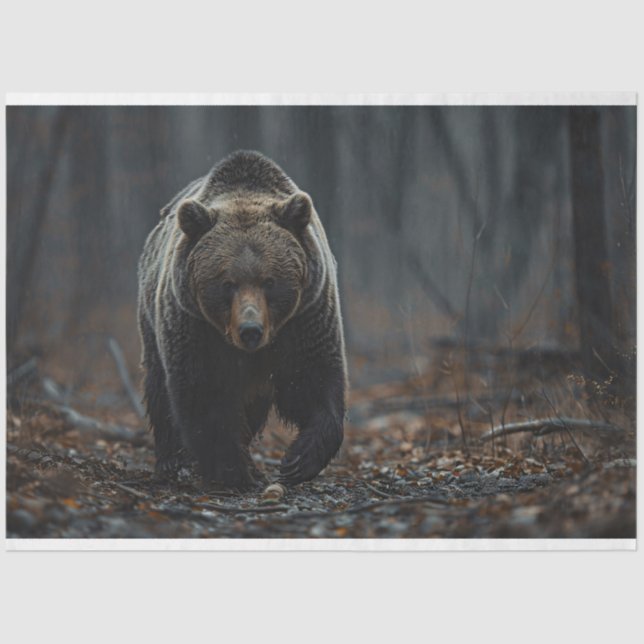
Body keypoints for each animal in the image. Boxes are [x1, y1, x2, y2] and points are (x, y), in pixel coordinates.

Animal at [137, 150, 347, 489]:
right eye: (227, 283)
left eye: (269, 281)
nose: (250, 330)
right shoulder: (195, 326)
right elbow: (203, 393)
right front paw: (232, 470)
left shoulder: (306, 317)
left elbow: (314, 382)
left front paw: (297, 460)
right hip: (151, 321)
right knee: (158, 387)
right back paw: (172, 461)